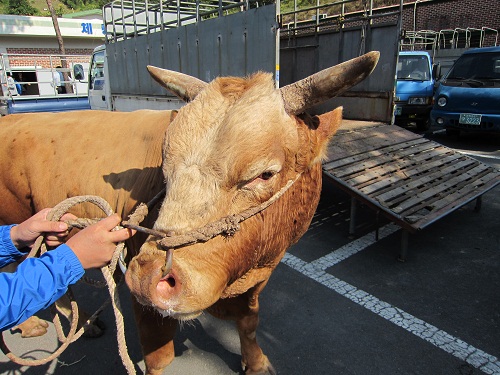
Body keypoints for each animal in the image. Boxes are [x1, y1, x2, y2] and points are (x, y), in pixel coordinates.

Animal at [0, 52, 376, 375]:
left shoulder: (256, 284)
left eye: (264, 174)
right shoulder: (144, 301)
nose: (149, 278)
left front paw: (256, 362)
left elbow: (250, 324)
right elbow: (158, 358)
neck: (250, 269)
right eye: (165, 168)